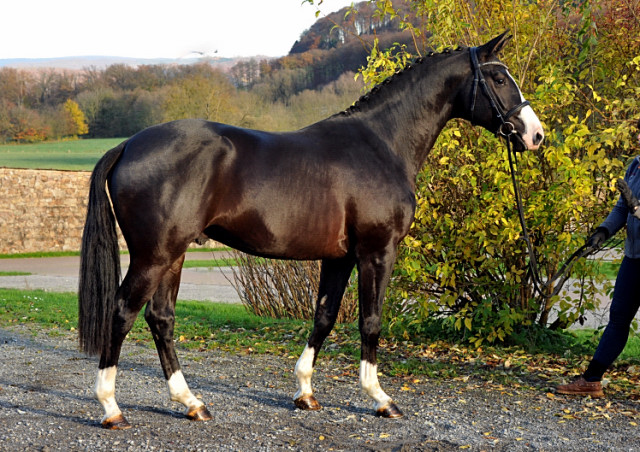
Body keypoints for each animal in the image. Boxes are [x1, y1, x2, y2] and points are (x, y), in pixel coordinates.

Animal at [77, 32, 544, 430]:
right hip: (153, 255)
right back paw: (112, 408)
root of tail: (129, 144)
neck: (381, 143)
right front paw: (381, 398)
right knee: (122, 313)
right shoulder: (377, 251)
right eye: (498, 78)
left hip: (173, 254)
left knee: (161, 319)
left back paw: (192, 403)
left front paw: (304, 392)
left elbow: (324, 317)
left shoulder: (339, 257)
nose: (535, 135)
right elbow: (370, 321)